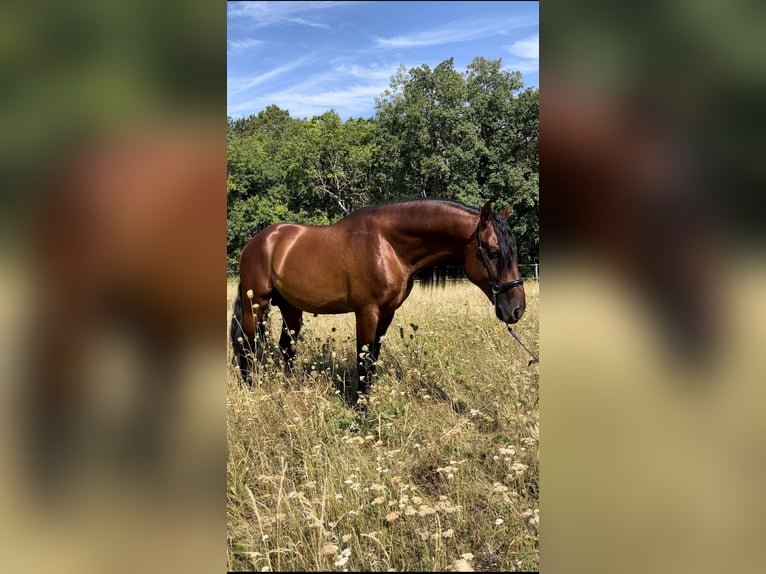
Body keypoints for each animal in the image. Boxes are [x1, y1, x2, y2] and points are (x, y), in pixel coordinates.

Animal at [230, 198, 528, 404]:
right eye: (494, 252)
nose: (516, 309)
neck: (387, 245)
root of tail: (257, 242)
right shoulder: (367, 312)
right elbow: (363, 359)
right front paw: (361, 411)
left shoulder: (386, 313)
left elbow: (372, 358)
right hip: (255, 304)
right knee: (247, 344)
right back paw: (250, 387)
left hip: (290, 308)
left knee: (286, 348)